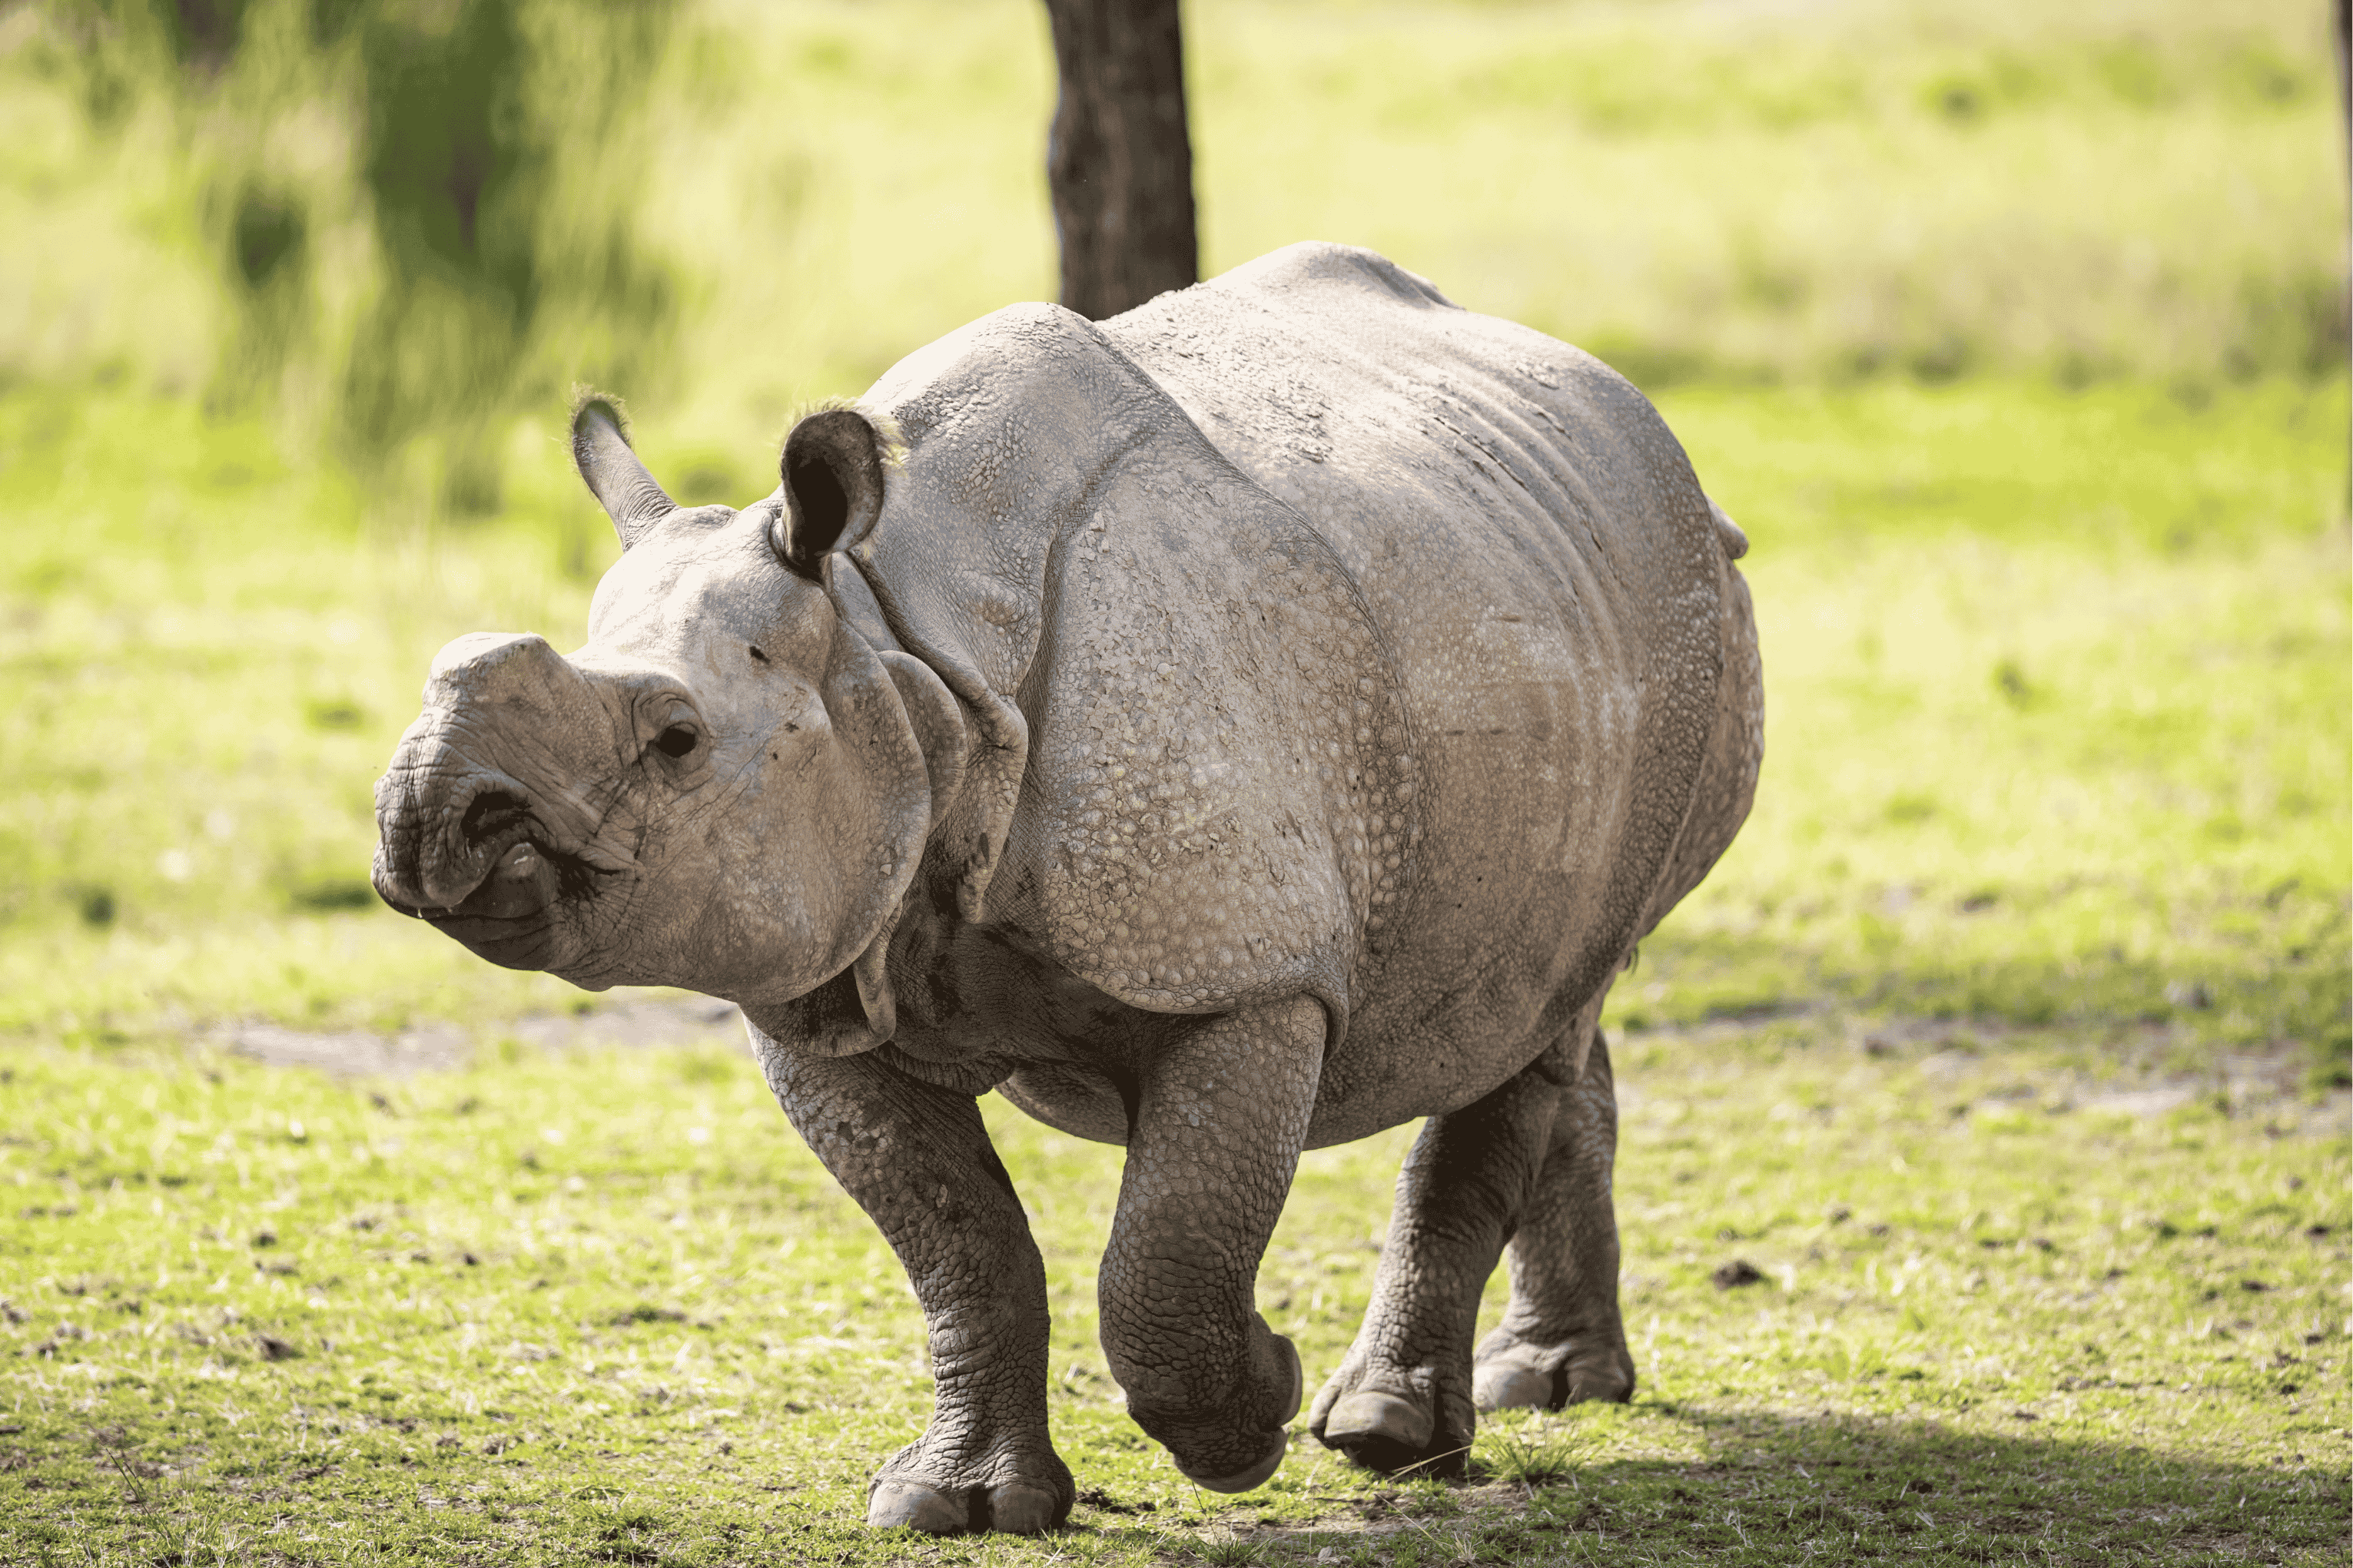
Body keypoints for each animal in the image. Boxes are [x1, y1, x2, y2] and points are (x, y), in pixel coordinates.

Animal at [373, 242, 1761, 1534]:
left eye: (675, 740)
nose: (430, 816)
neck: (894, 651)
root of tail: (1650, 430)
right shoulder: (822, 963)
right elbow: (961, 1246)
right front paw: (959, 1504)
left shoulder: (1241, 969)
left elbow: (1164, 1259)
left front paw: (1254, 1413)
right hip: (1552, 610)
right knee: (1548, 977)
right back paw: (1557, 1385)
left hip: (1679, 629)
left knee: (1546, 996)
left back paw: (1385, 1435)